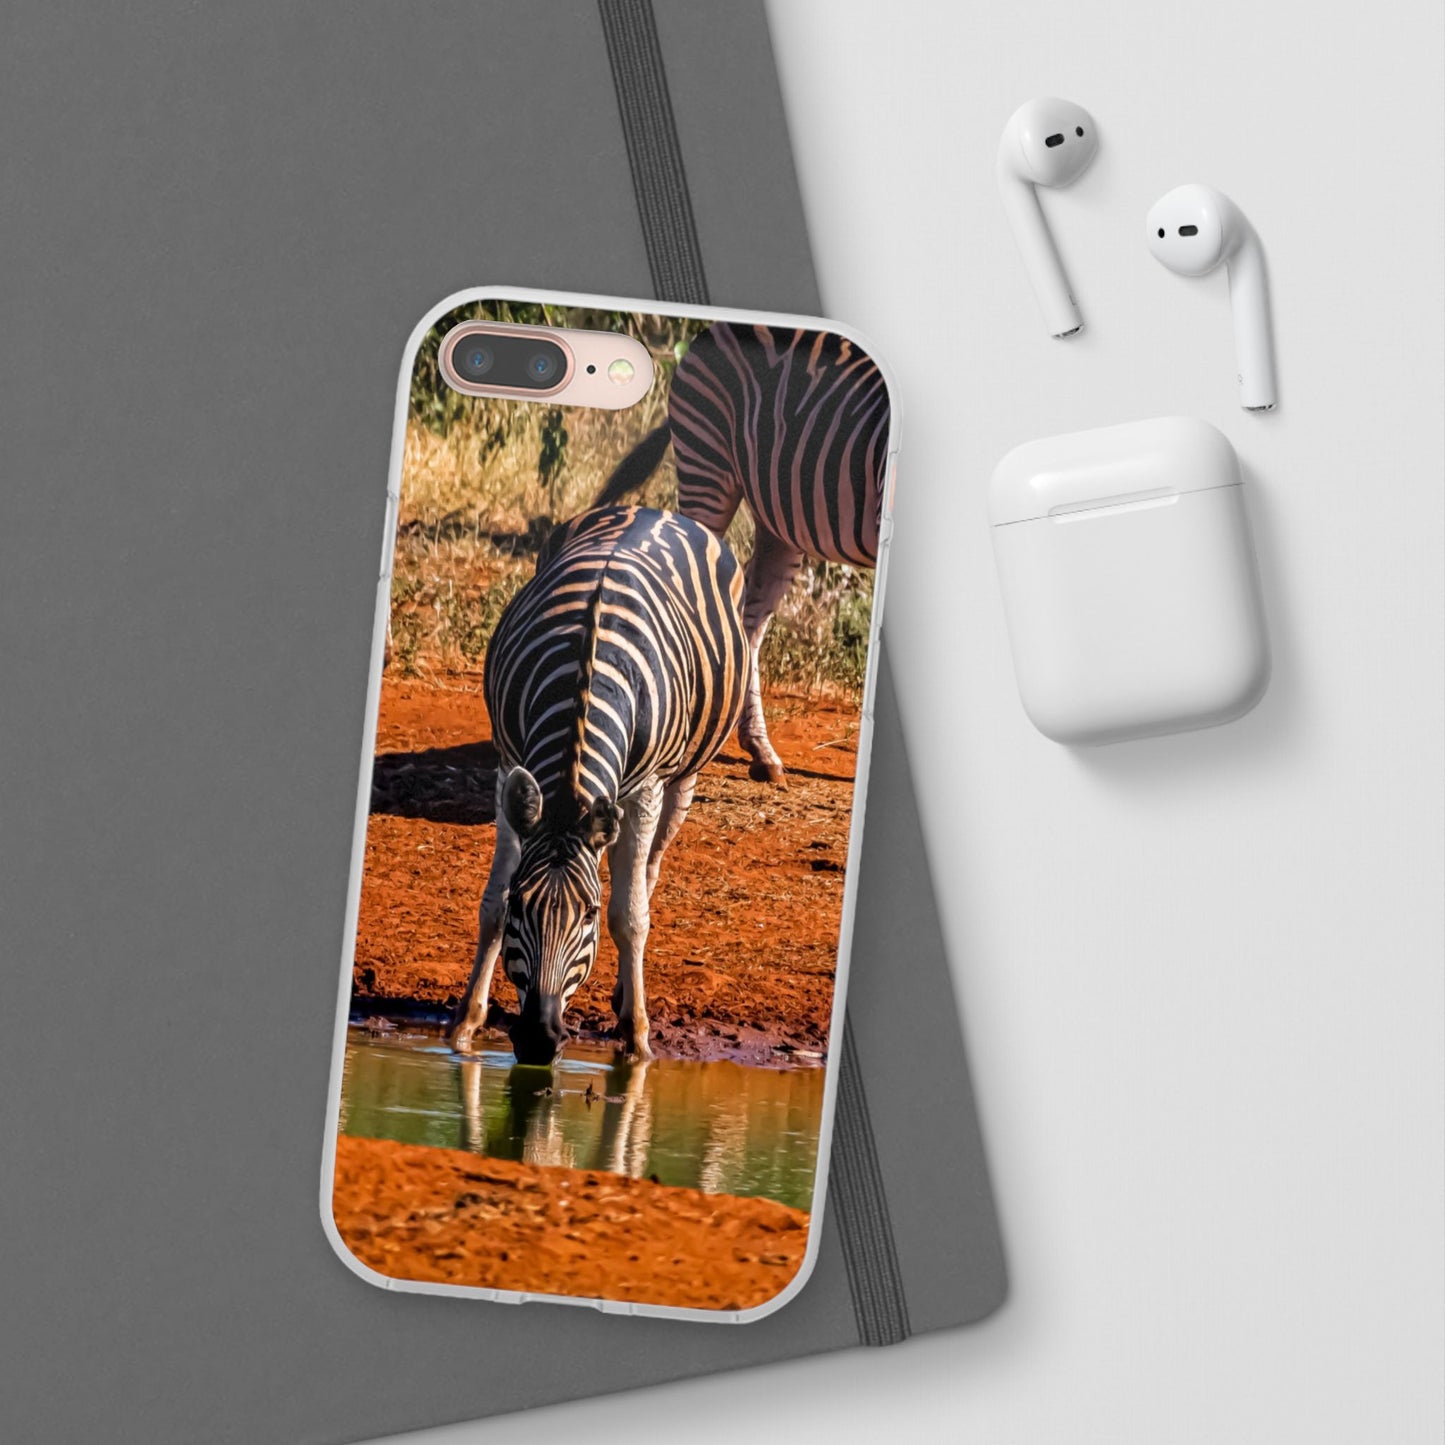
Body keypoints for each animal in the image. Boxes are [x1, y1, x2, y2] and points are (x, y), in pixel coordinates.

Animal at [450, 504, 748, 1064]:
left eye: (587, 914)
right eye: (523, 904)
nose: (539, 1039)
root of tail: (652, 509)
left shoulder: (647, 786)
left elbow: (630, 916)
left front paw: (637, 1036)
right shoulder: (509, 764)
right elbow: (491, 902)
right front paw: (465, 1024)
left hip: (683, 775)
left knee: (648, 872)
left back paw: (627, 995)